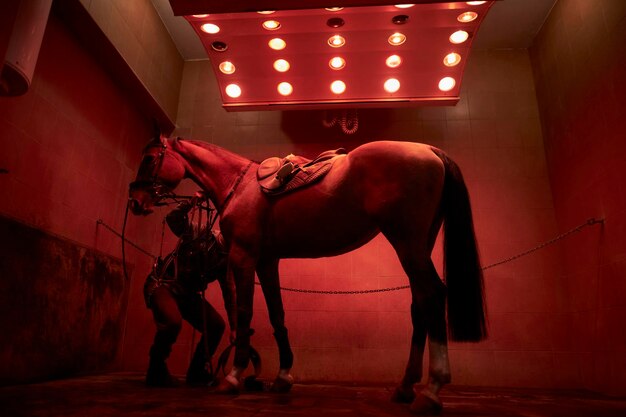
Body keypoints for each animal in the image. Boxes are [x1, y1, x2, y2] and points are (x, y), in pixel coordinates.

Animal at [129, 136, 486, 412]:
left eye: (149, 159)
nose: (136, 202)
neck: (240, 185)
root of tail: (429, 150)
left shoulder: (244, 258)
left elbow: (243, 314)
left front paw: (233, 376)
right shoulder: (267, 261)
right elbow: (277, 315)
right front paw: (282, 376)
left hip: (407, 243)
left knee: (432, 295)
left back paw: (432, 389)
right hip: (417, 246)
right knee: (419, 305)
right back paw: (406, 386)